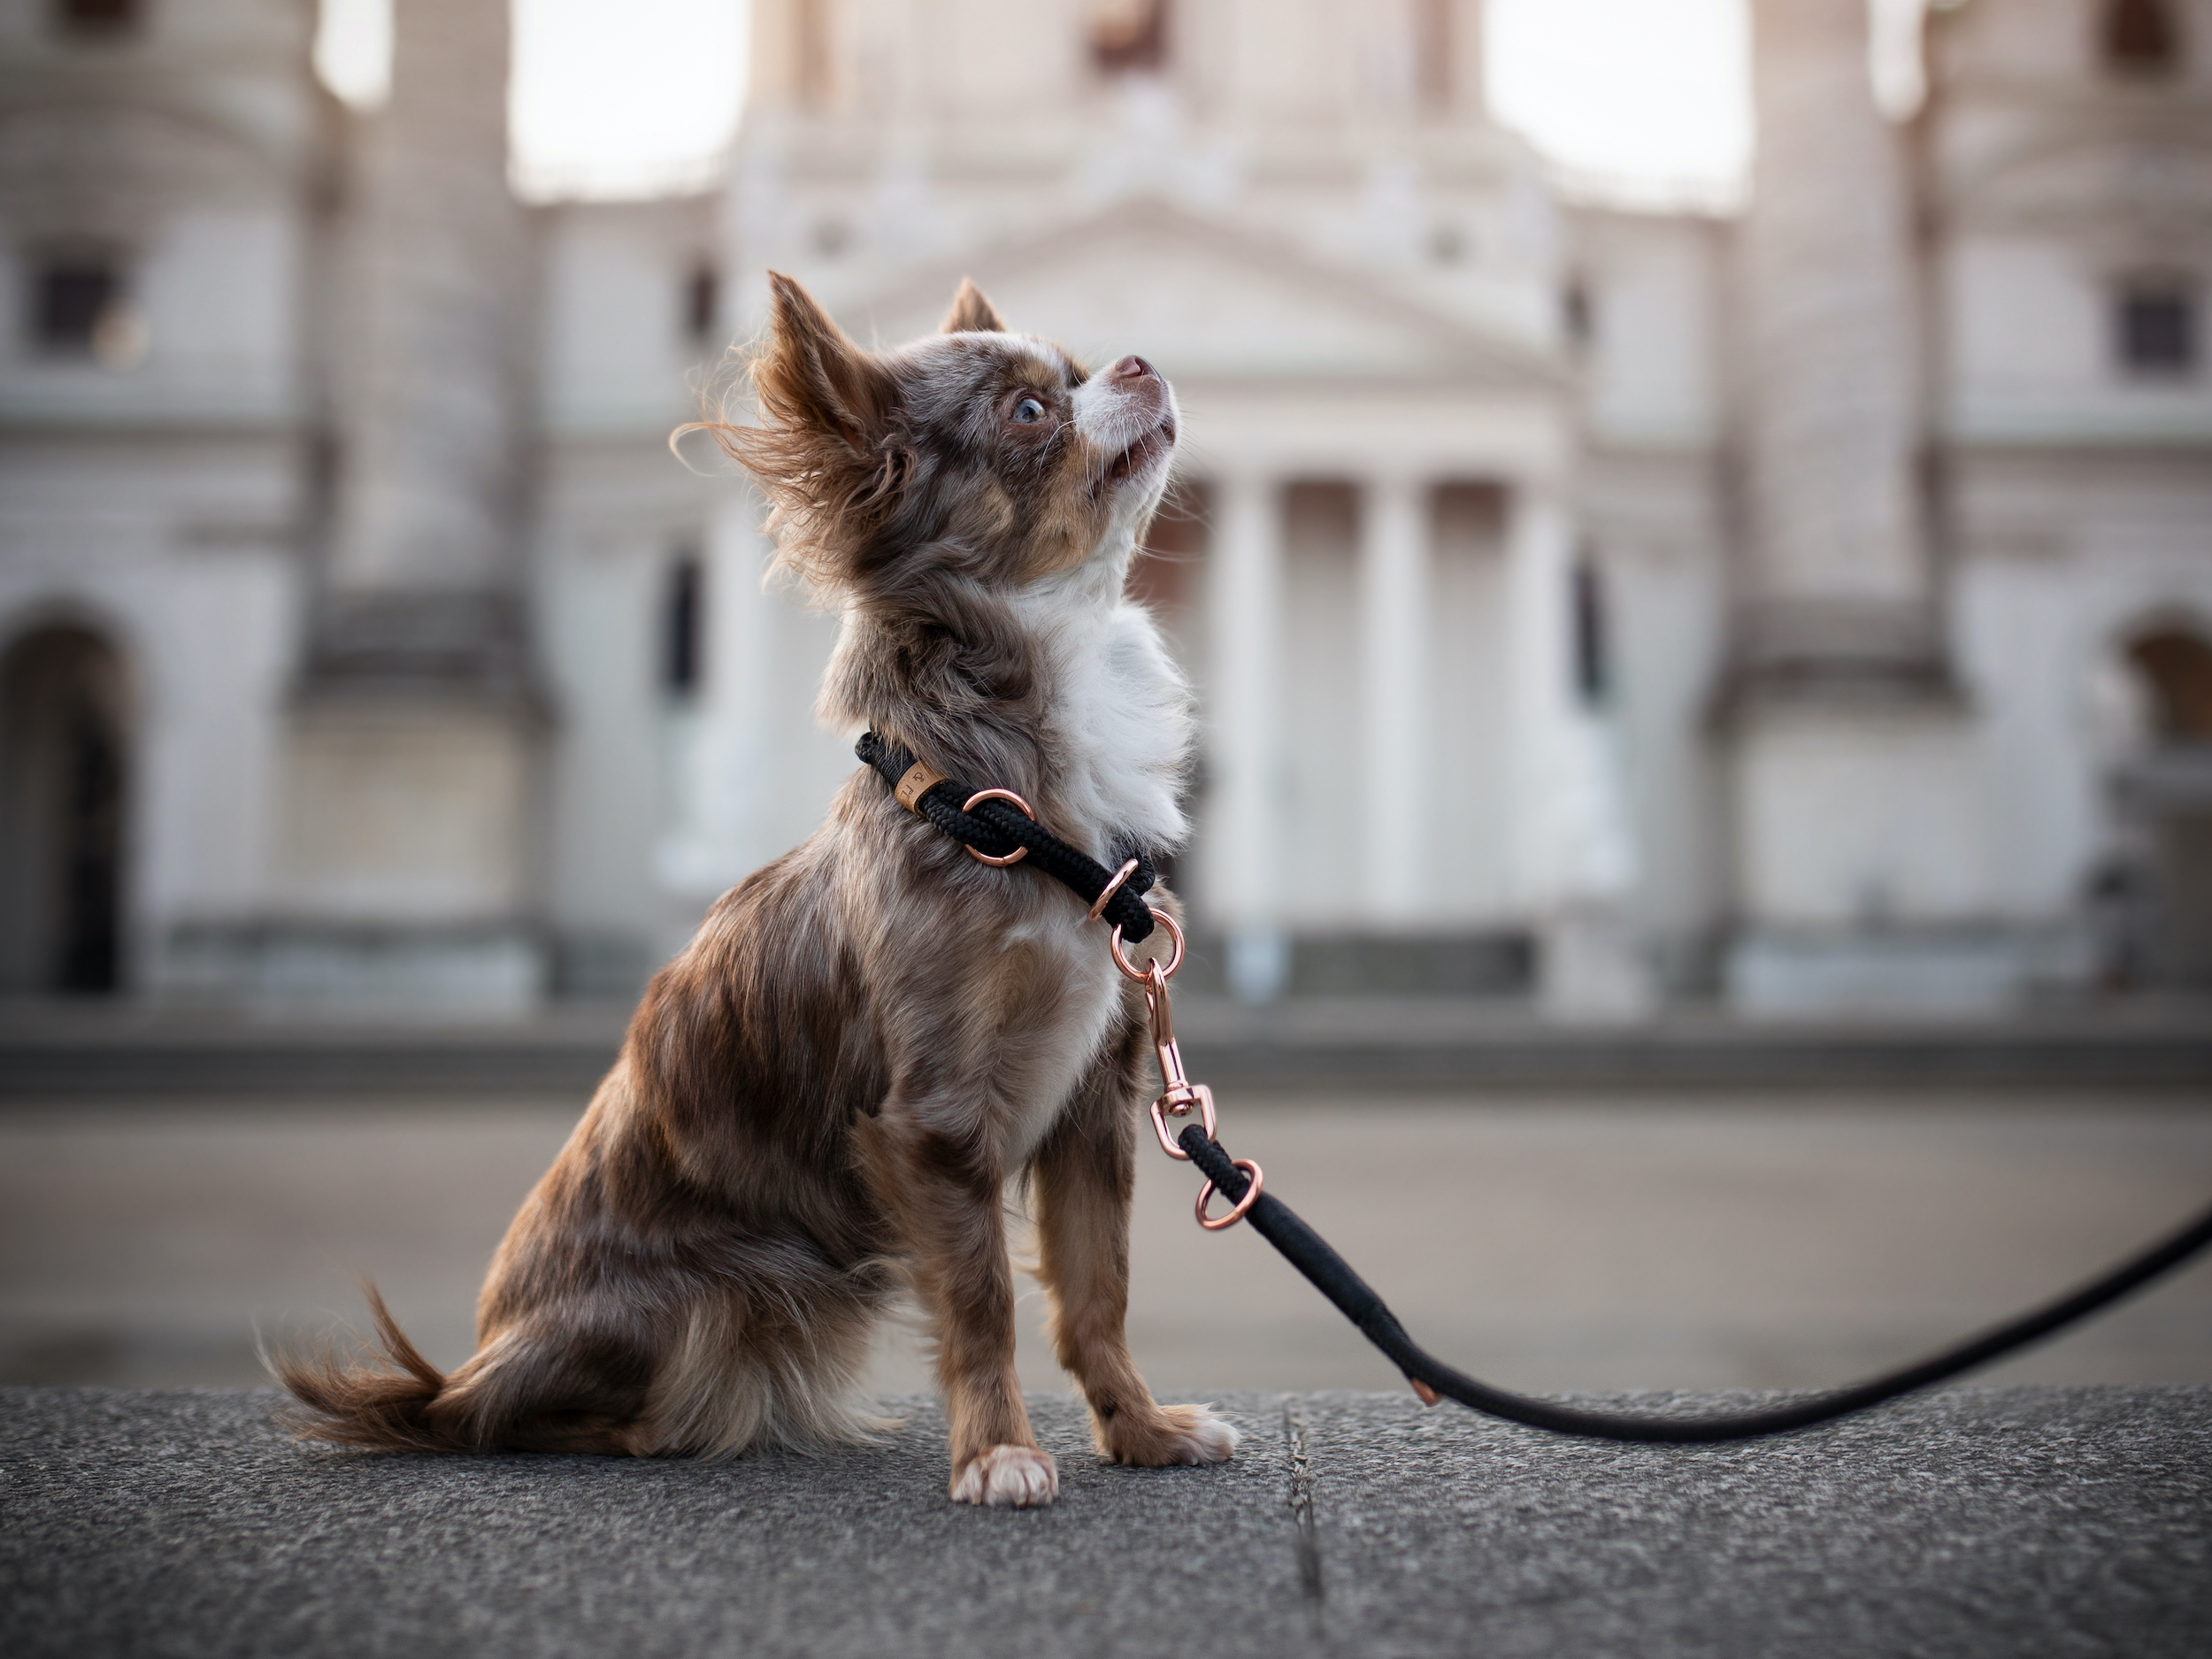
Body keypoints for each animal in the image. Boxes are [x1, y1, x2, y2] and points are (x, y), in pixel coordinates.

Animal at [272, 280, 1230, 1513]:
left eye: (1074, 371)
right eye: (1028, 411)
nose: (1140, 361)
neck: (1006, 816)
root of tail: (469, 1365)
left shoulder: (1090, 1106)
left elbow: (1095, 1288)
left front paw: (1141, 1430)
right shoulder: (936, 1120)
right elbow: (983, 1301)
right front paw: (998, 1453)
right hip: (727, 1294)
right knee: (537, 1418)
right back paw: (670, 1423)